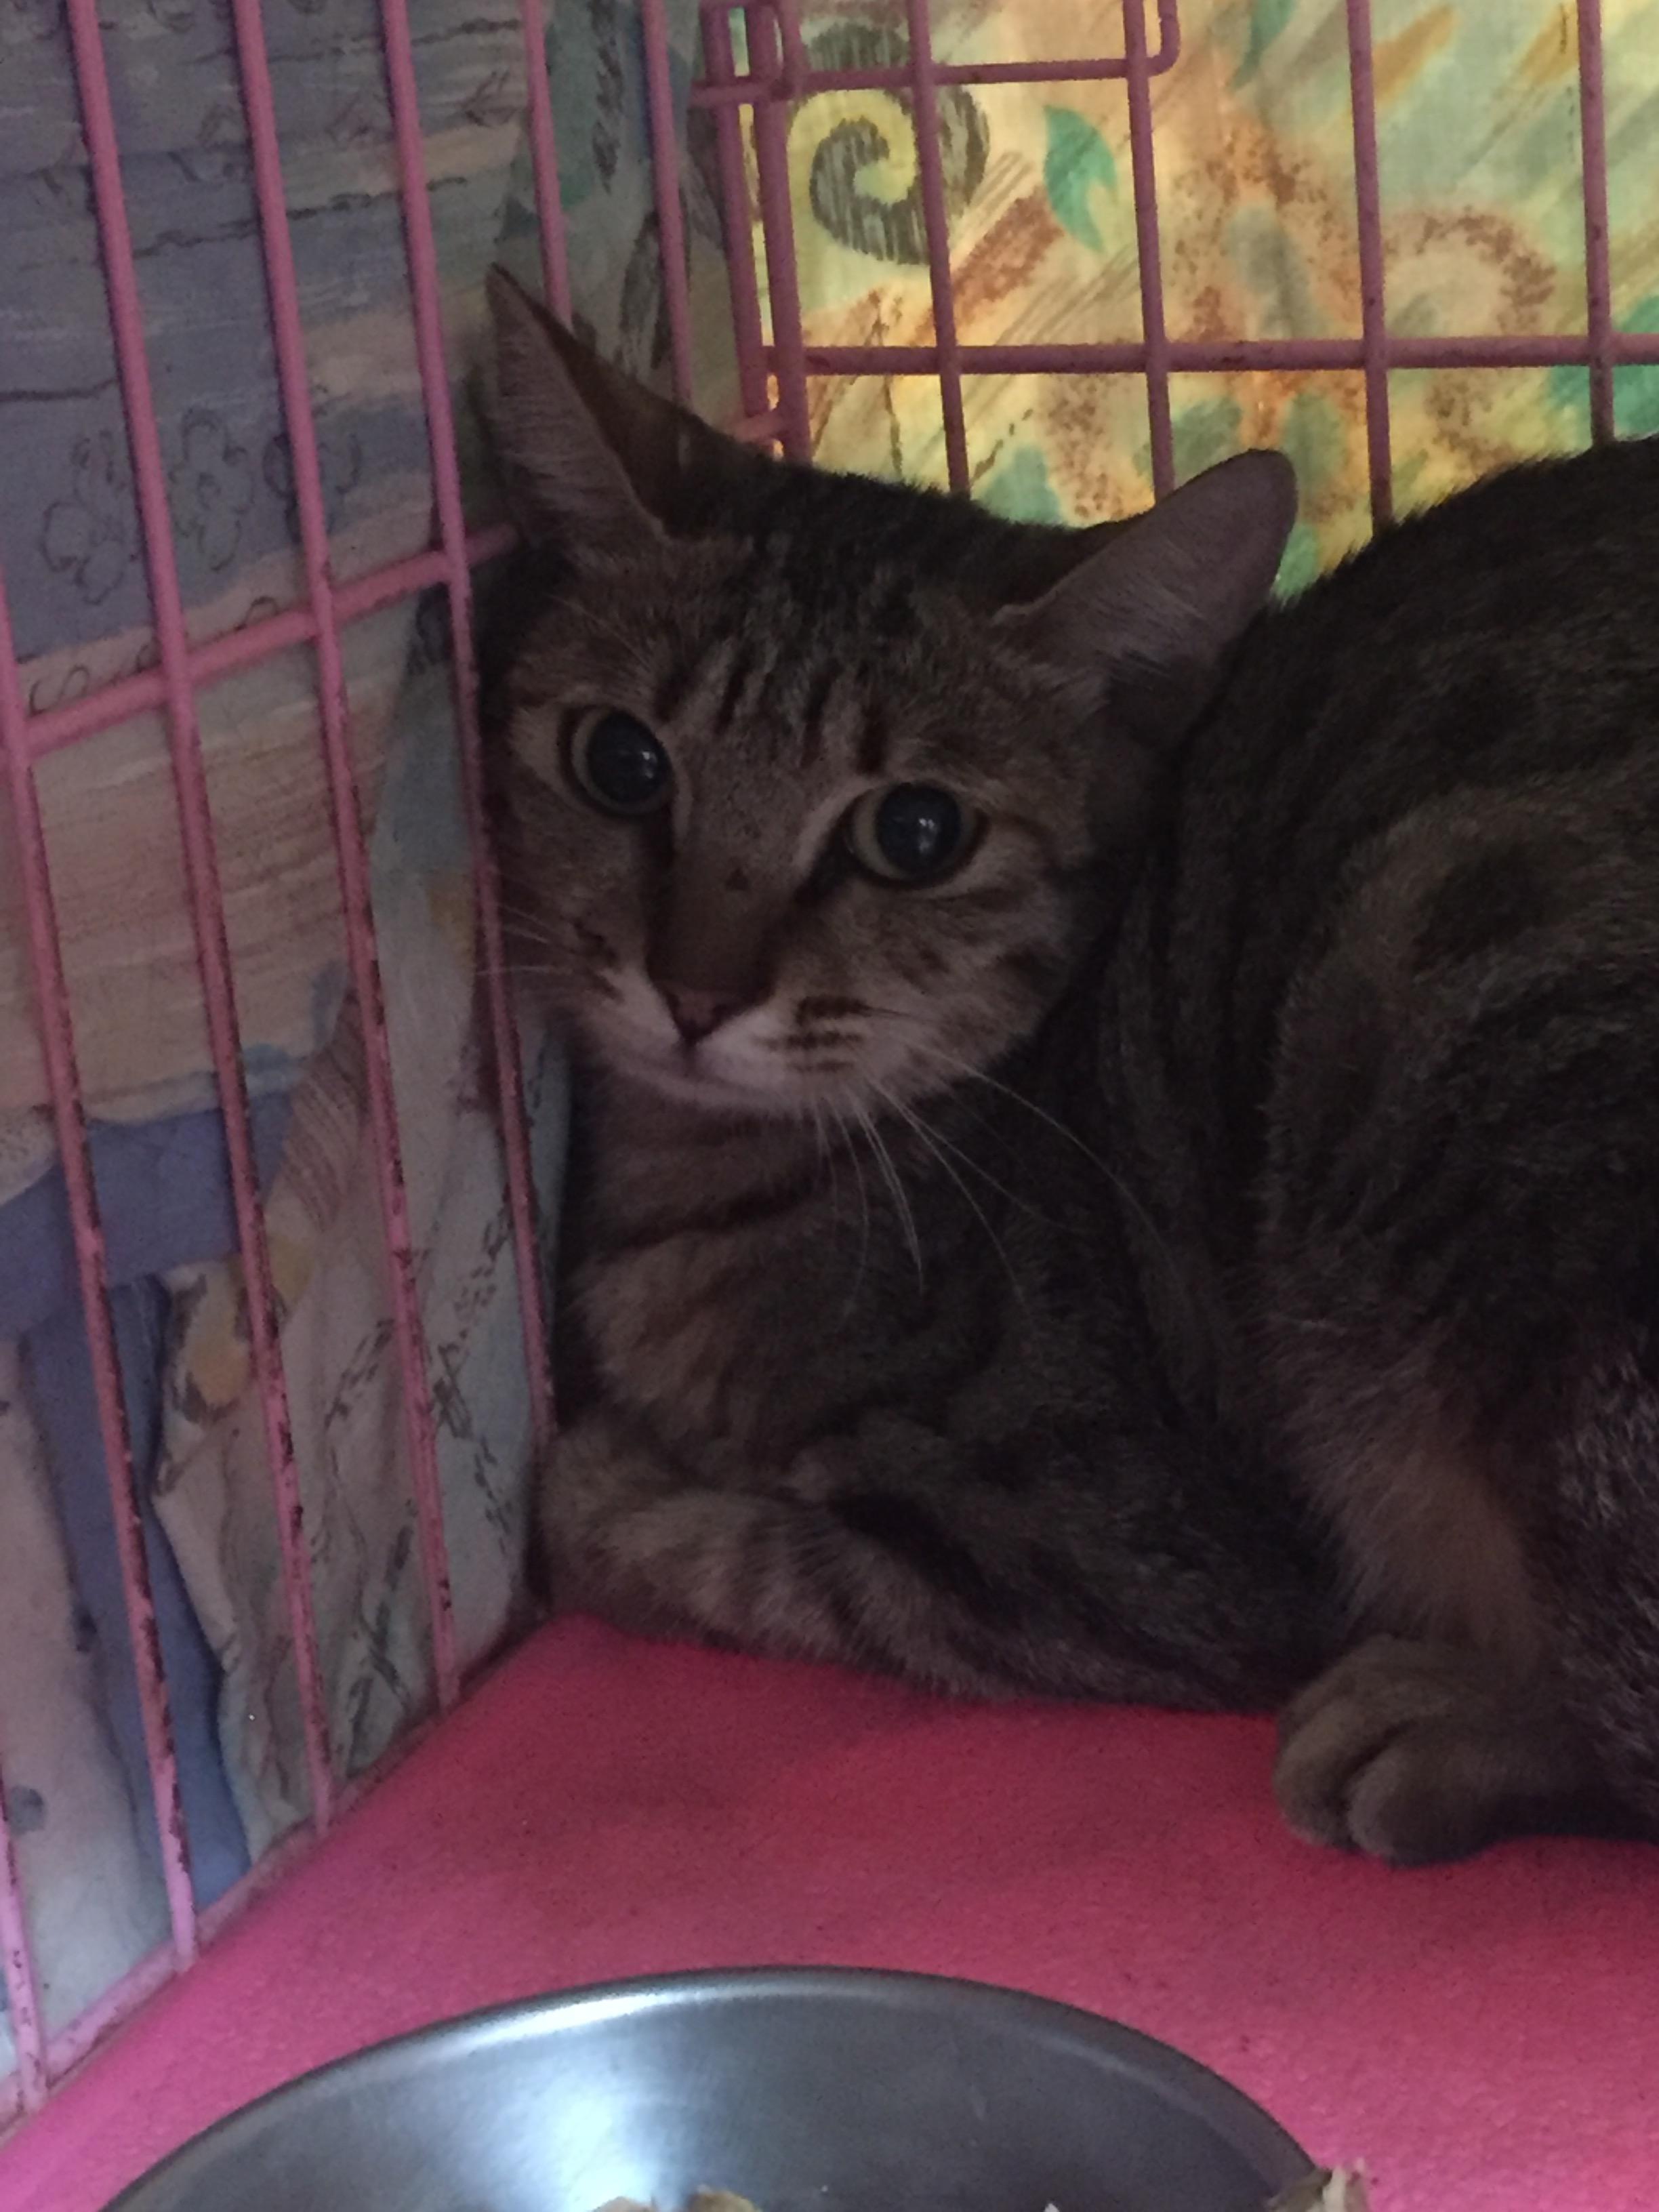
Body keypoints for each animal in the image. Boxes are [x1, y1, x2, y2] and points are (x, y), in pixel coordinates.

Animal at [480, 265, 1659, 1867]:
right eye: (622, 762)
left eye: (915, 833)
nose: (695, 990)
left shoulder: (1123, 1547)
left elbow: (741, 1559)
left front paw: (601, 1480)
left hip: (1445, 977)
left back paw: (1436, 1726)